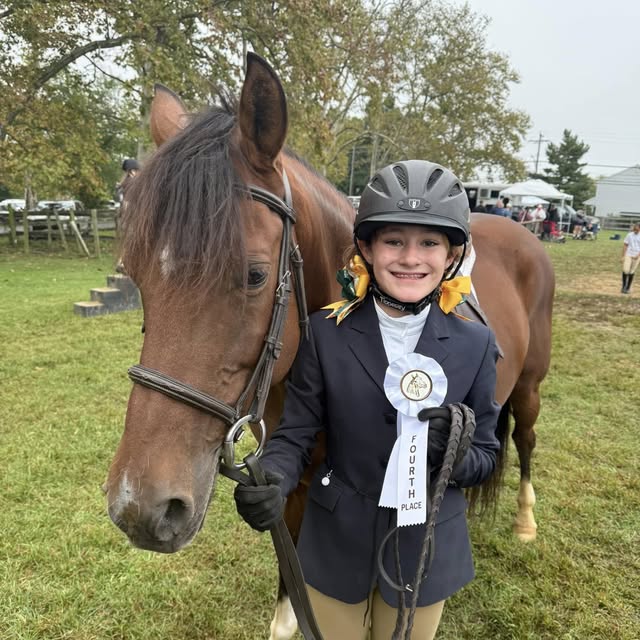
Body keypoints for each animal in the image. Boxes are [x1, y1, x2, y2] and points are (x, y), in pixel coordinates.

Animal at [105, 53, 554, 640]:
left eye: (253, 275)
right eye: (134, 274)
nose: (140, 509)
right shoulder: (293, 490)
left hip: (529, 387)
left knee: (523, 439)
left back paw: (525, 521)